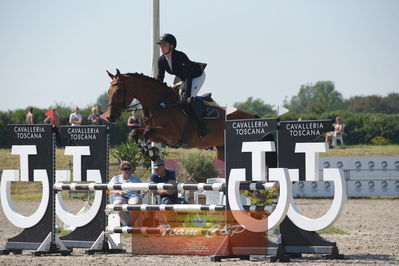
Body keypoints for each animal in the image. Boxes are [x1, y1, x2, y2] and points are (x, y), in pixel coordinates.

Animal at [106, 68, 256, 160]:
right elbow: (136, 132)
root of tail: (253, 117)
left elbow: (148, 132)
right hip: (222, 150)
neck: (160, 104)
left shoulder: (172, 135)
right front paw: (149, 151)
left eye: (118, 91)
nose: (110, 117)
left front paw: (150, 151)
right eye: (108, 92)